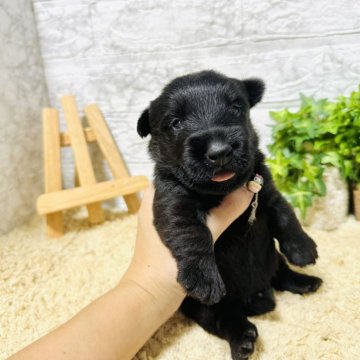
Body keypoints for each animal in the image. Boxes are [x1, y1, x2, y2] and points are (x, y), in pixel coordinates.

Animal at [136, 71, 322, 360]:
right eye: (176, 123)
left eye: (236, 108)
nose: (219, 151)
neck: (222, 190)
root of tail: (256, 296)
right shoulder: (173, 202)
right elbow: (191, 233)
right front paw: (203, 276)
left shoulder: (265, 188)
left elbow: (285, 214)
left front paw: (302, 248)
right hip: (203, 307)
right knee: (224, 318)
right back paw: (243, 339)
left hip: (272, 258)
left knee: (280, 272)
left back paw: (305, 281)